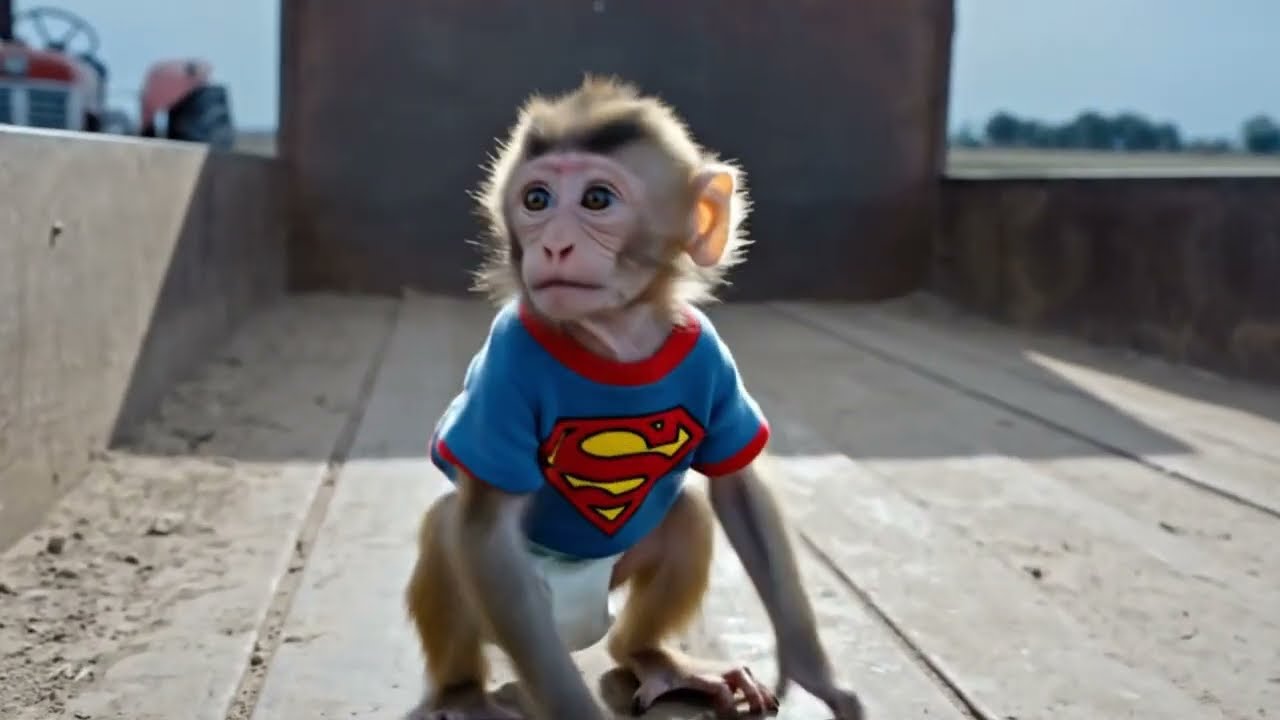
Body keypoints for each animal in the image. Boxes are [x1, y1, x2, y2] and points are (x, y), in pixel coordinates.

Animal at [404, 75, 865, 720]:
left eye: (597, 200)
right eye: (537, 200)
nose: (554, 245)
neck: (613, 336)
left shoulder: (710, 353)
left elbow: (737, 490)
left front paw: (811, 670)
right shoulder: (507, 362)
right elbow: (485, 534)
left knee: (687, 515)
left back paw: (654, 658)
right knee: (452, 535)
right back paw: (462, 693)